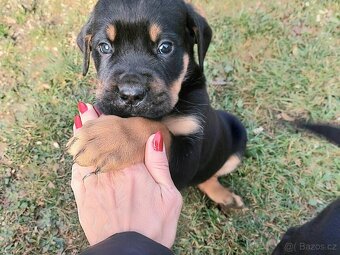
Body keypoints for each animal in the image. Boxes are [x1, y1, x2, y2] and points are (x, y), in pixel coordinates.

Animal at [67, 0, 247, 209]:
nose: (130, 94)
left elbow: (156, 129)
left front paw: (107, 138)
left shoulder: (187, 157)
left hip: (238, 140)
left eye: (165, 47)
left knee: (210, 175)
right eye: (104, 47)